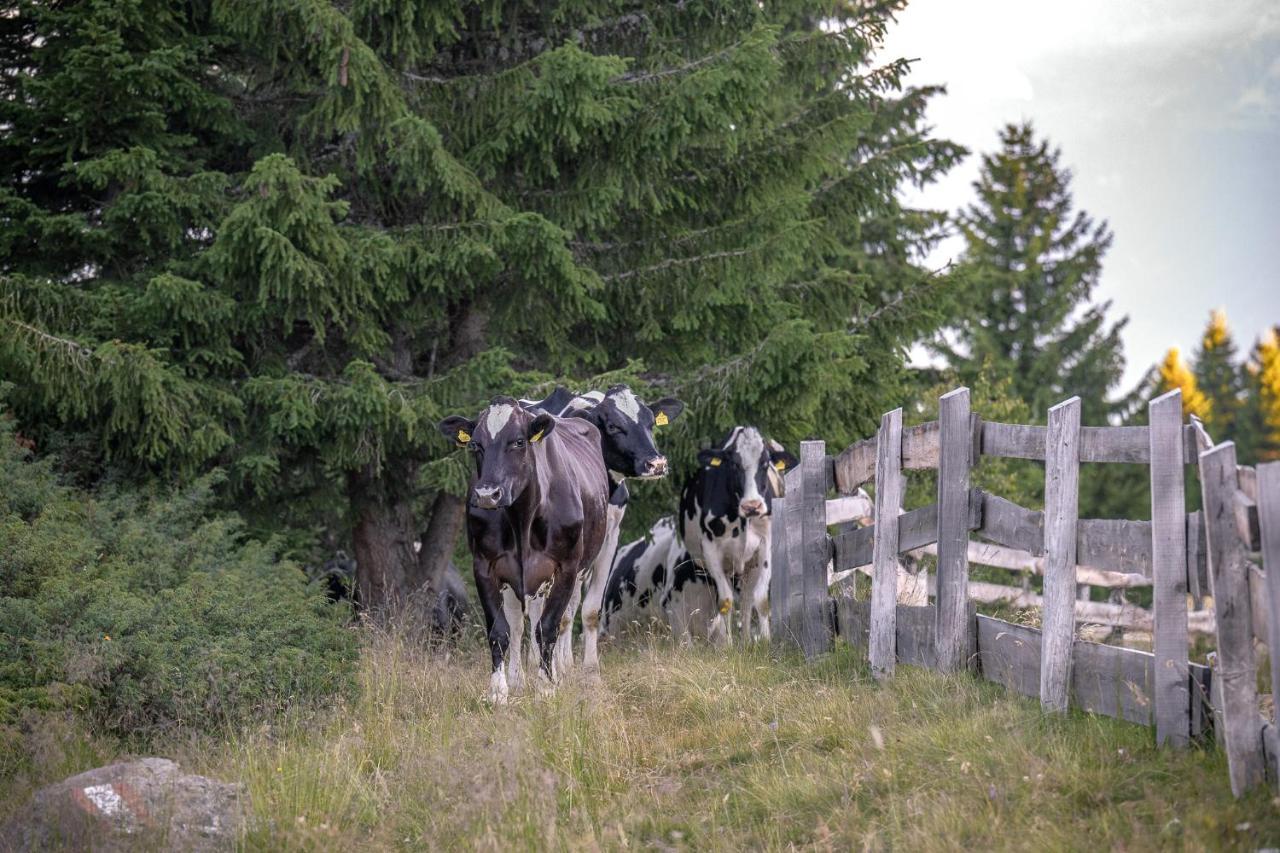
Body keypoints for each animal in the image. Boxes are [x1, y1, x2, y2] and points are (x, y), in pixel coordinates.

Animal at [440, 394, 609, 701]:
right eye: (475, 445)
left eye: (518, 441)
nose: (487, 495)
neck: (522, 519)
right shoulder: (484, 565)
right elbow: (500, 631)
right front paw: (498, 690)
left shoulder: (566, 567)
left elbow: (548, 627)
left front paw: (546, 686)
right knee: (519, 626)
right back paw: (518, 680)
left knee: (565, 618)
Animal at [675, 427, 793, 640]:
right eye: (734, 464)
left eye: (765, 463)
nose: (752, 506)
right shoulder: (711, 551)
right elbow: (725, 601)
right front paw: (726, 643)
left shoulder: (766, 544)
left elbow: (761, 599)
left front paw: (765, 641)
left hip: (749, 566)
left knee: (746, 600)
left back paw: (746, 639)